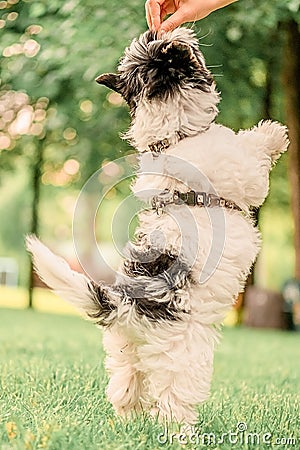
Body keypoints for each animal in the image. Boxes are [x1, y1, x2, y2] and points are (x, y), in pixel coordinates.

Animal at [27, 28, 290, 426]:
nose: (171, 28)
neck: (174, 135)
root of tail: (126, 307)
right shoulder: (242, 171)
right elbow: (251, 151)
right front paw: (275, 133)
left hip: (123, 349)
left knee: (125, 385)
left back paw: (128, 421)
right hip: (182, 356)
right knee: (171, 399)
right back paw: (180, 431)